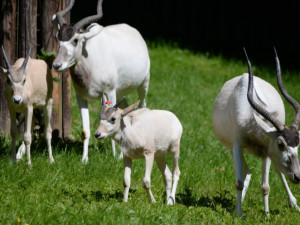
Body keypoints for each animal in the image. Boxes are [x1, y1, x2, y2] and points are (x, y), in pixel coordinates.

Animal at [52, 0, 150, 163]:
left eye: (75, 40)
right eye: (58, 38)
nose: (57, 65)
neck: (91, 60)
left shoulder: (109, 92)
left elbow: (112, 122)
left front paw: (118, 156)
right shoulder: (81, 97)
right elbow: (85, 130)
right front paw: (84, 160)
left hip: (143, 85)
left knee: (143, 105)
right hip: (120, 93)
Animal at [212, 48, 300, 216]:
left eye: (299, 144)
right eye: (281, 143)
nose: (297, 176)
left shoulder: (267, 151)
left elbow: (265, 187)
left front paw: (266, 216)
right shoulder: (237, 147)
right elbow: (239, 182)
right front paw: (239, 215)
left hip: (271, 155)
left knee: (279, 171)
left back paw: (294, 204)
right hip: (235, 150)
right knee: (247, 172)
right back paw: (237, 208)